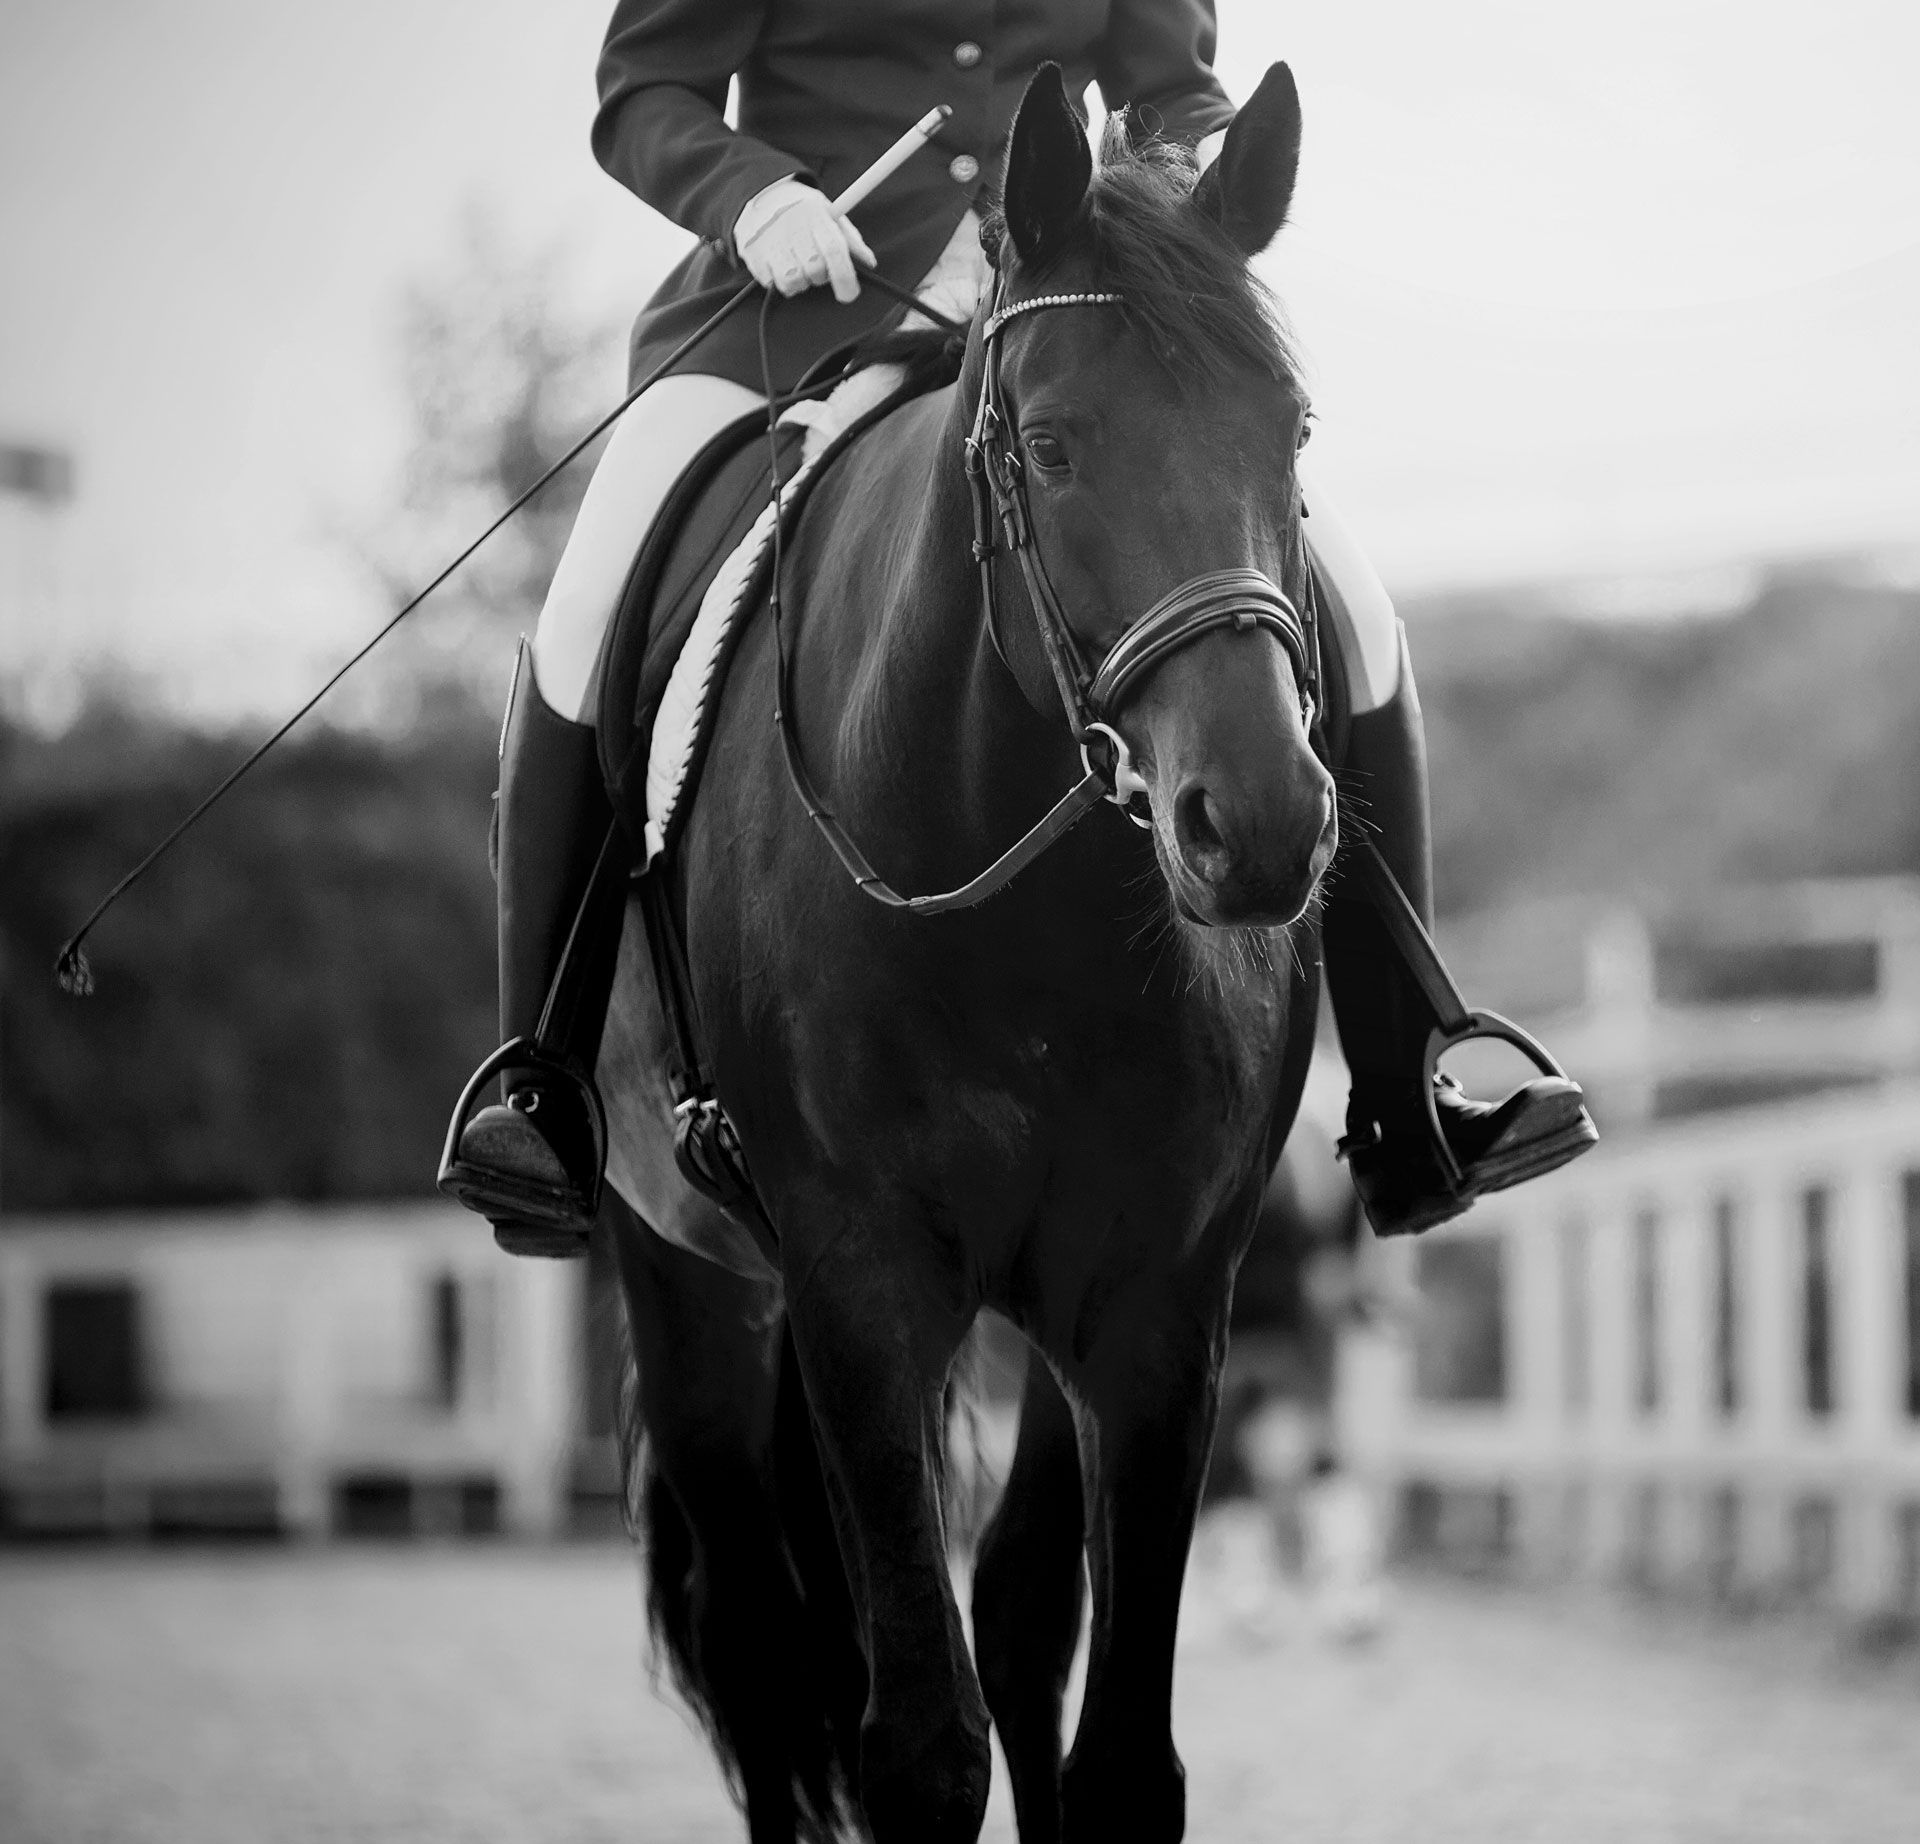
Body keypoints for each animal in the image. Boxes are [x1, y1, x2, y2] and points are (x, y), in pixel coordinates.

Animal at [595, 61, 1334, 1844]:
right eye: (1052, 447)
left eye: (1291, 435)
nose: (1259, 827)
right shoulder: (860, 1285)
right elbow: (918, 1744)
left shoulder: (1154, 1300)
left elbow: (1108, 1738)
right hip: (689, 1281)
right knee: (766, 1646)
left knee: (992, 1617)